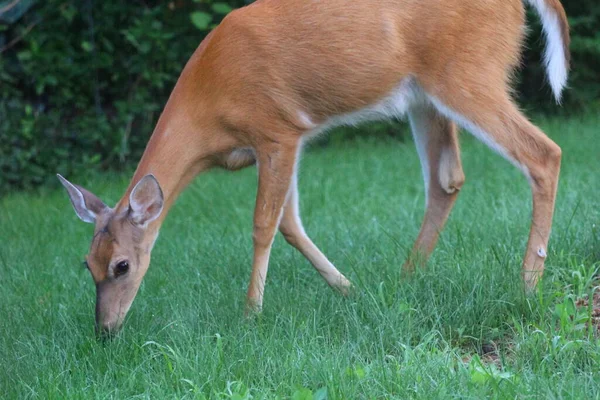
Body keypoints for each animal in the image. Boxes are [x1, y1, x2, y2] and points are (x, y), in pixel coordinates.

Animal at [58, 0, 568, 332]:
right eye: (87, 265)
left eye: (122, 265)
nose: (104, 331)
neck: (210, 110)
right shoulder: (282, 143)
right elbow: (290, 224)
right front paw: (349, 289)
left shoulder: (276, 130)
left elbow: (264, 224)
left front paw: (250, 314)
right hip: (425, 96)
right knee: (447, 180)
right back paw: (408, 277)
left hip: (468, 71)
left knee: (543, 153)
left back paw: (527, 285)